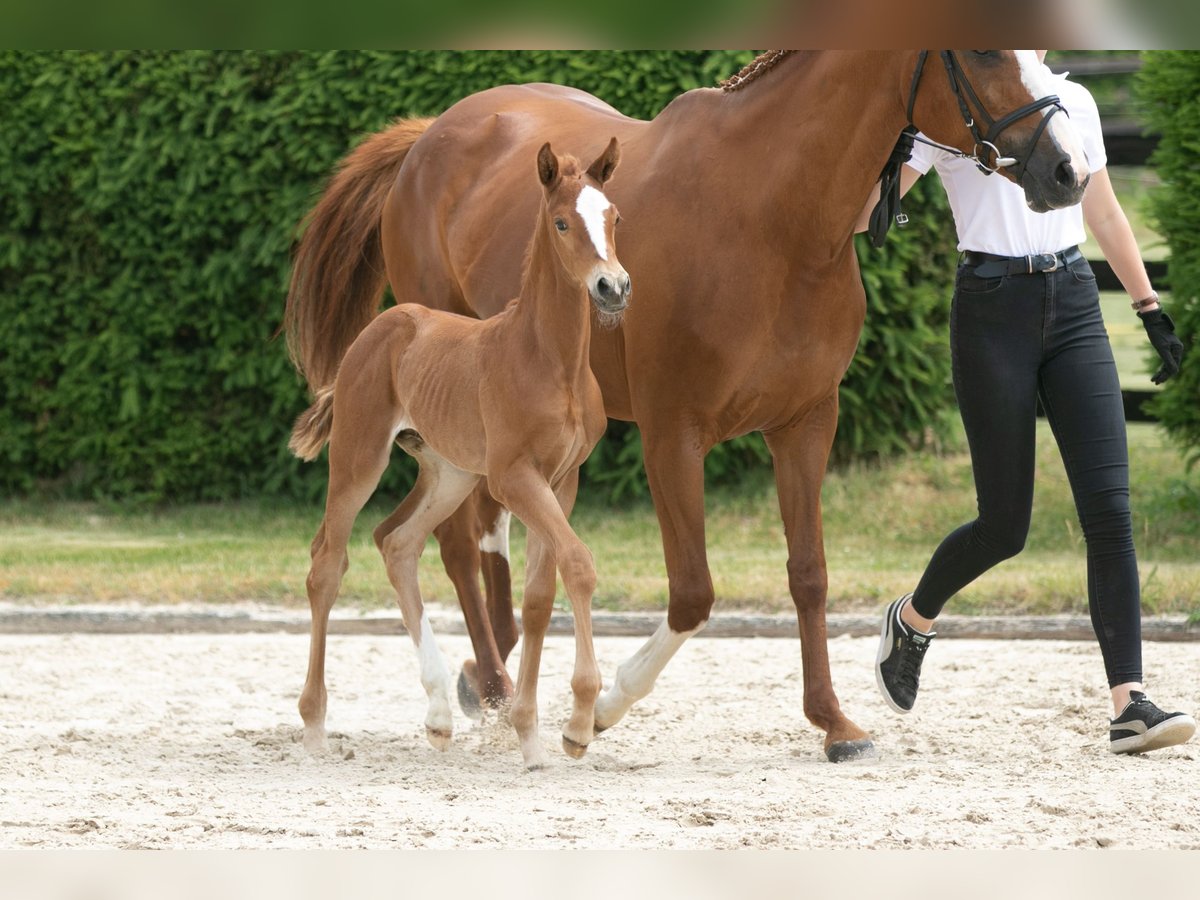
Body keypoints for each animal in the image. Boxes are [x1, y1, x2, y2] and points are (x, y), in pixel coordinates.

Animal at [290, 139, 628, 768]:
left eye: (614, 217)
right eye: (561, 222)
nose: (612, 288)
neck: (549, 359)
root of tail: (382, 324)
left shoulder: (561, 479)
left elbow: (539, 595)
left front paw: (530, 734)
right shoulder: (512, 477)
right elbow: (578, 563)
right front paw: (575, 725)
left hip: (448, 473)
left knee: (396, 541)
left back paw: (440, 715)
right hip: (359, 457)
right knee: (328, 561)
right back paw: (315, 725)